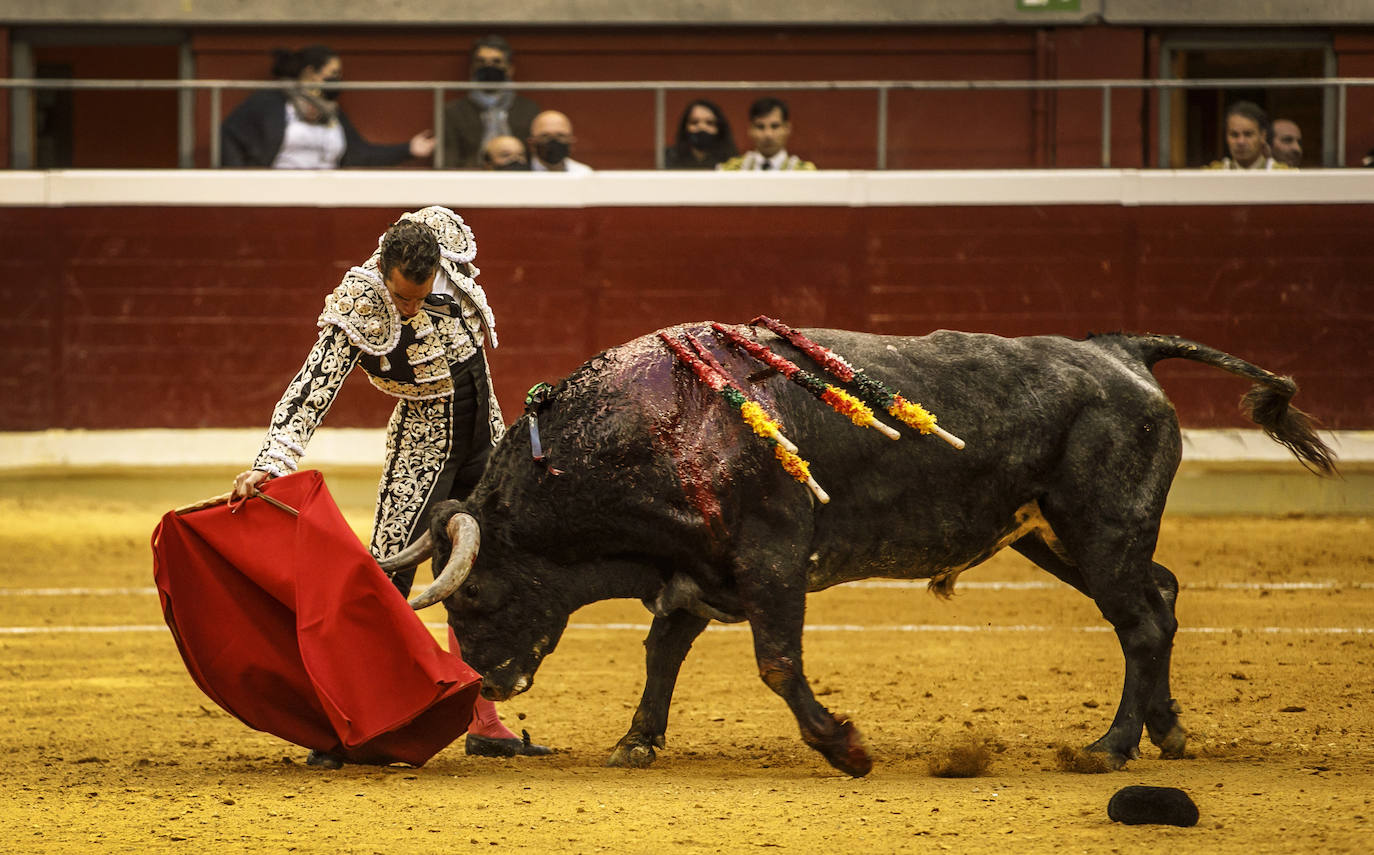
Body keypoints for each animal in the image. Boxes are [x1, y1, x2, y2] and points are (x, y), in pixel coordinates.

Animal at [376, 324, 1330, 780]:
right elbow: (662, 651)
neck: (654, 425)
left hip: (1100, 527)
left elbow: (775, 662)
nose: (489, 685)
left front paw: (846, 746)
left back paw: (1112, 744)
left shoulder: (772, 560)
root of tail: (1118, 350)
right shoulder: (700, 571)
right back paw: (1167, 730)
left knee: (1139, 621)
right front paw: (636, 740)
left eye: (474, 596)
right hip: (1058, 535)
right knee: (1160, 599)